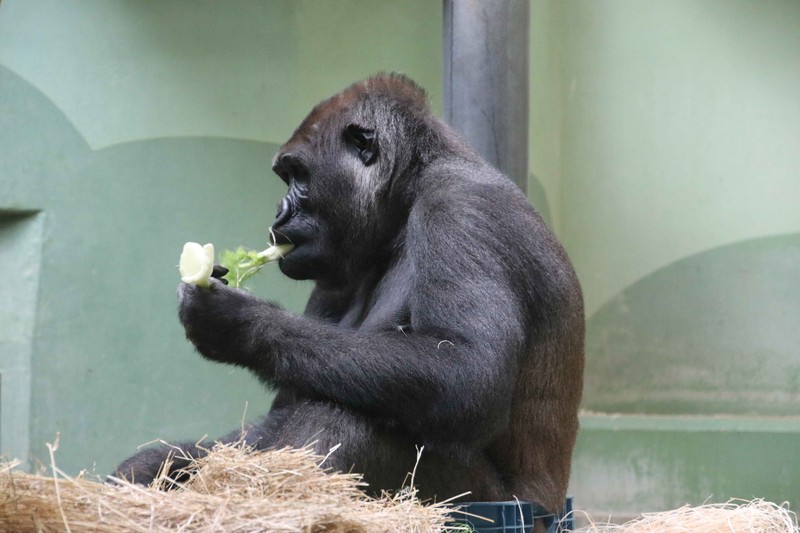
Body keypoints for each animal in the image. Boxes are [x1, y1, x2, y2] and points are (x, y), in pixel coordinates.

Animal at [115, 72, 584, 512]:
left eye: (298, 175)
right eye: (286, 176)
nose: (278, 213)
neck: (409, 193)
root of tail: (553, 508)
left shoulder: (463, 212)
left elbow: (467, 372)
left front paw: (240, 323)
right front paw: (161, 464)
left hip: (500, 507)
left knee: (344, 423)